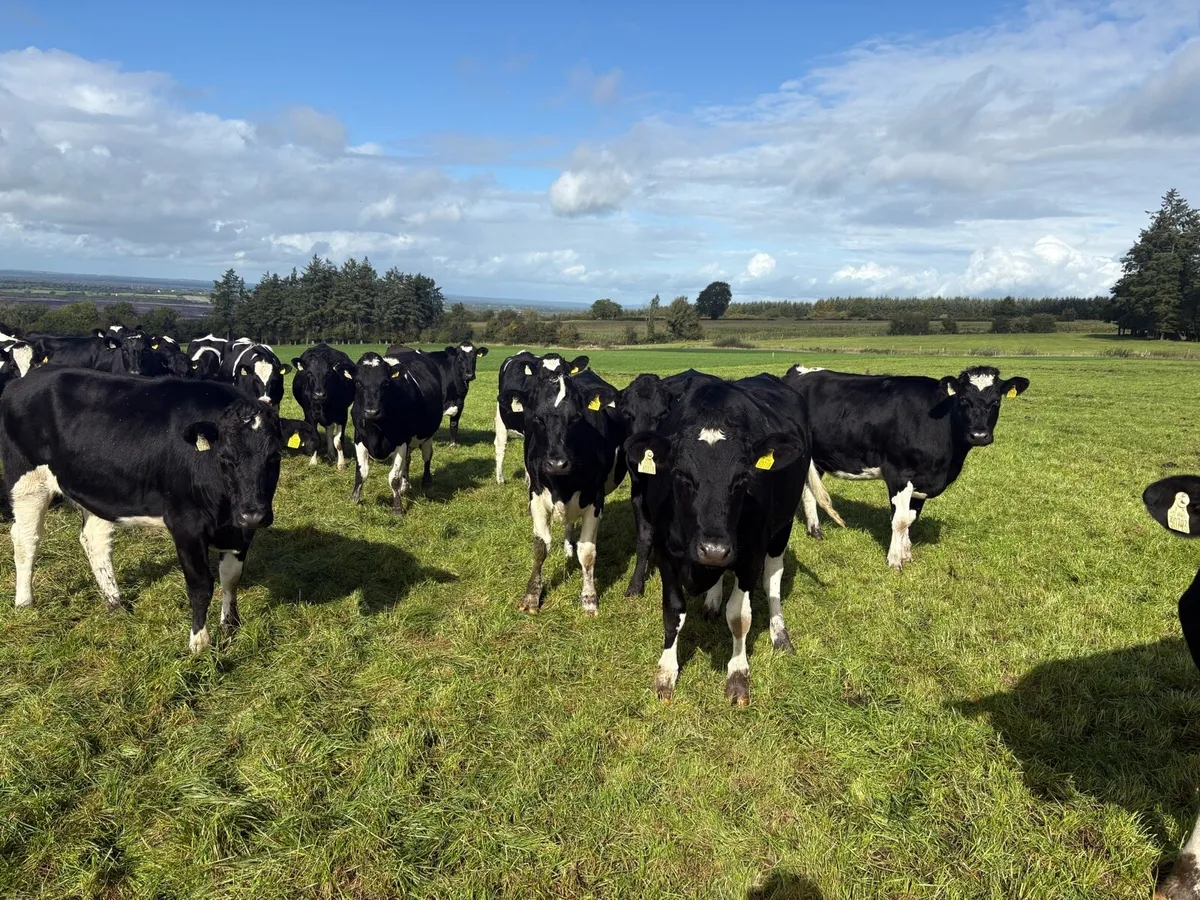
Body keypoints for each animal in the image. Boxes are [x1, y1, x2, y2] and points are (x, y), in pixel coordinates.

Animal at [1, 367, 282, 651]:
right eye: (225, 458)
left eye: (274, 456)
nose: (253, 513)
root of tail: (24, 380)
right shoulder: (186, 525)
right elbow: (201, 585)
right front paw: (199, 643)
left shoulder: (241, 529)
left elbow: (231, 577)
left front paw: (230, 625)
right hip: (28, 481)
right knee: (26, 540)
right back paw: (25, 602)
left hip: (97, 486)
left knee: (94, 539)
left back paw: (115, 601)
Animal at [349, 352, 444, 515]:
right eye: (358, 383)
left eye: (386, 383)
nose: (371, 412)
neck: (376, 431)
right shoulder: (359, 439)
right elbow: (361, 474)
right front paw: (354, 499)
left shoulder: (401, 442)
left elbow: (393, 478)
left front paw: (397, 508)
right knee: (408, 461)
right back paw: (405, 485)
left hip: (427, 435)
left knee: (427, 456)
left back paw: (426, 482)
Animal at [624, 373, 823, 705]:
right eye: (681, 475)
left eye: (742, 478)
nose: (714, 550)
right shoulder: (666, 554)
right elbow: (673, 610)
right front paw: (666, 672)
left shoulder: (750, 556)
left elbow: (740, 616)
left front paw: (738, 674)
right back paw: (712, 601)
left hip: (781, 530)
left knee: (773, 580)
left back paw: (779, 633)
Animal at [785, 364, 1029, 570]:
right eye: (963, 400)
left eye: (996, 402)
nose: (979, 435)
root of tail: (797, 371)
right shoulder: (899, 475)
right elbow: (900, 520)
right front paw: (895, 561)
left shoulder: (922, 480)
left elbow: (911, 518)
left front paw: (907, 553)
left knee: (808, 491)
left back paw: (815, 531)